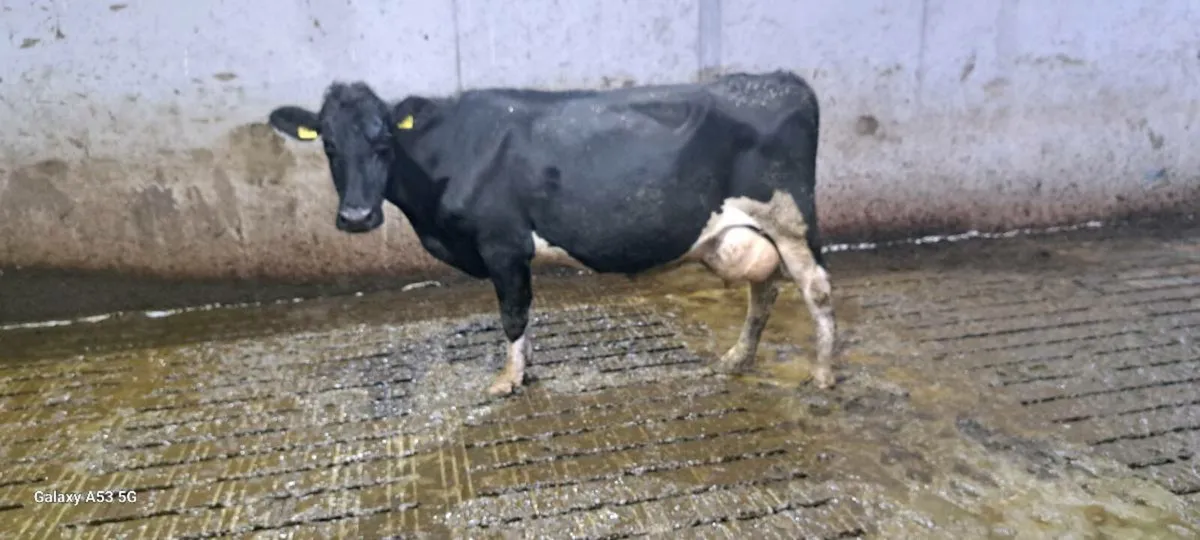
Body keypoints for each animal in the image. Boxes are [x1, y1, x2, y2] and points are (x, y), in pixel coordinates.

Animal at [267, 70, 837, 397]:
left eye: (384, 140)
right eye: (329, 146)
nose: (356, 216)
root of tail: (781, 78)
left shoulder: (501, 242)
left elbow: (513, 314)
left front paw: (508, 380)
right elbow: (524, 313)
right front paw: (527, 368)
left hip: (791, 220)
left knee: (816, 290)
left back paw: (824, 373)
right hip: (751, 231)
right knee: (763, 290)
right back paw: (738, 359)